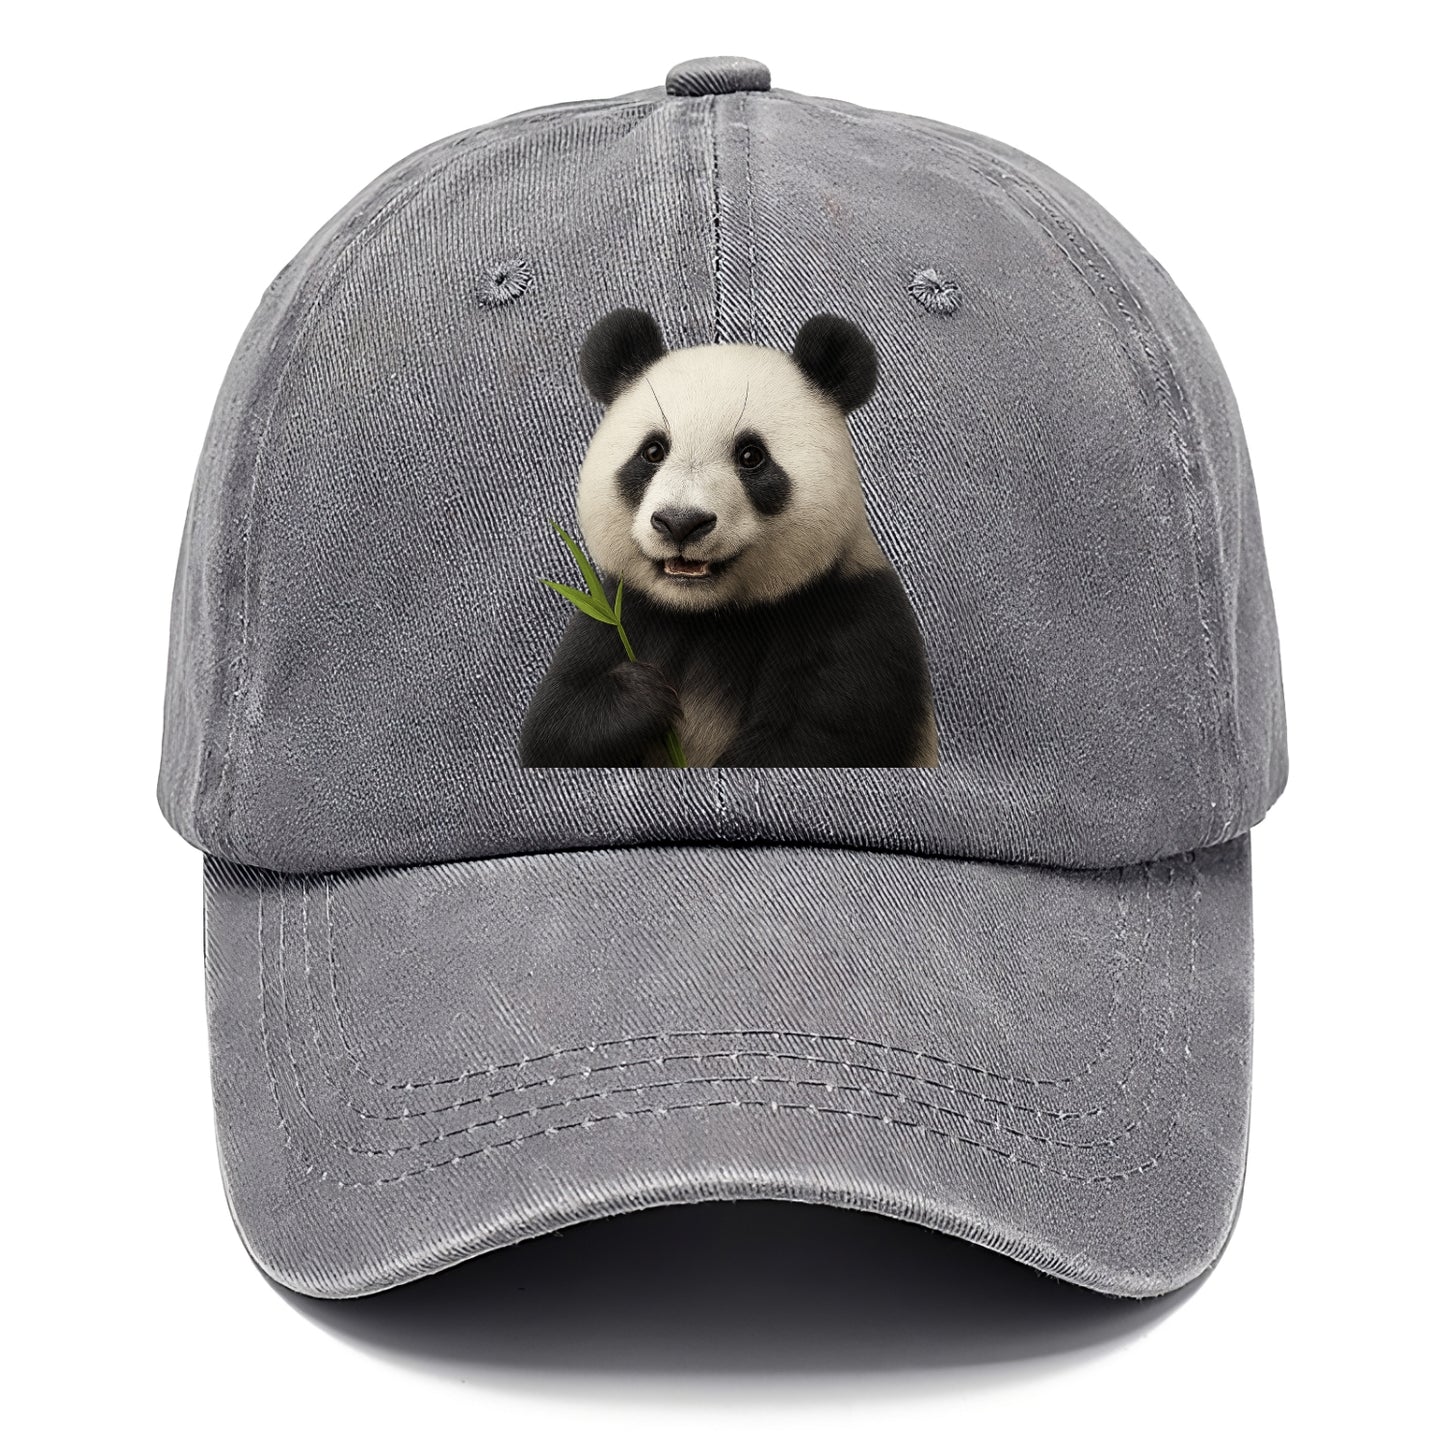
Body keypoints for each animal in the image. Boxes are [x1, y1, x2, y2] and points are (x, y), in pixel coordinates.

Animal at [519, 308, 938, 768]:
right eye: (653, 451)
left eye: (751, 456)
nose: (681, 522)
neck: (709, 614)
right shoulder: (621, 609)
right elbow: (552, 725)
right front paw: (640, 696)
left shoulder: (851, 613)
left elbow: (814, 738)